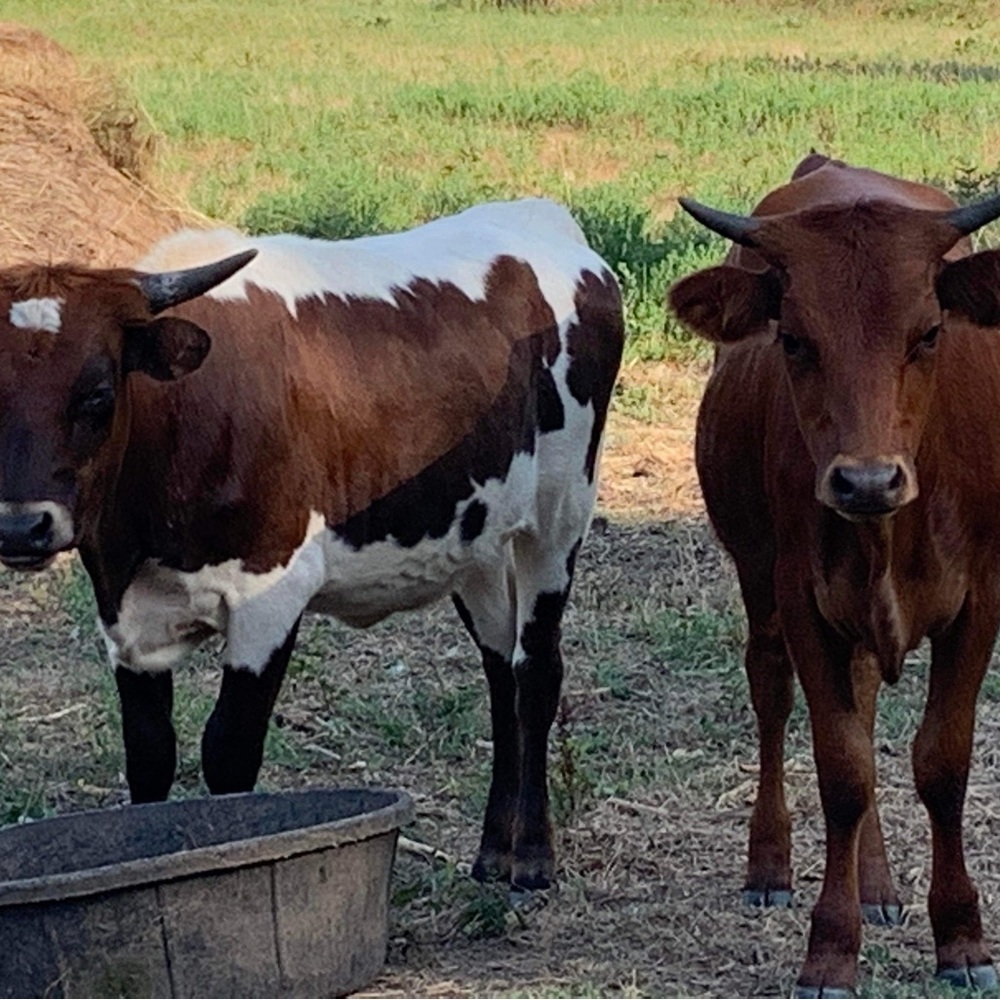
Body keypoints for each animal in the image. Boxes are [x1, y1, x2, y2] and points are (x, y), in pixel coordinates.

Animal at [0, 198, 624, 891]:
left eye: (99, 395)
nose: (22, 527)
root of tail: (540, 217)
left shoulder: (270, 596)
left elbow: (228, 750)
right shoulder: (126, 616)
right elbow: (149, 753)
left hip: (558, 515)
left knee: (535, 670)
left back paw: (533, 856)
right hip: (476, 541)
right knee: (500, 672)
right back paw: (493, 850)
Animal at [668, 154, 1000, 996]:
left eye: (929, 333)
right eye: (793, 340)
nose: (866, 481)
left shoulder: (982, 602)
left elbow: (941, 762)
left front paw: (962, 940)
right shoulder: (803, 602)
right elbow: (842, 770)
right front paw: (830, 949)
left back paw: (878, 884)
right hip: (760, 582)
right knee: (772, 691)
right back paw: (771, 866)